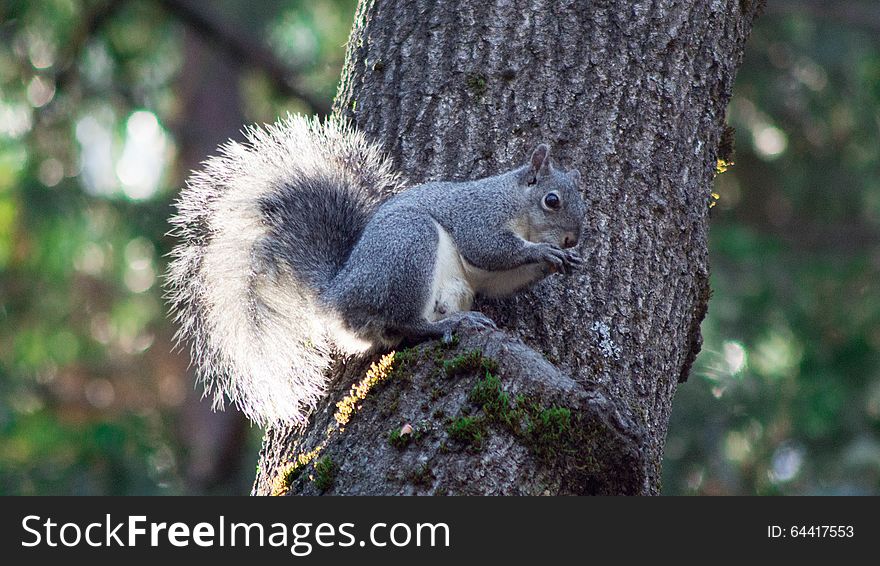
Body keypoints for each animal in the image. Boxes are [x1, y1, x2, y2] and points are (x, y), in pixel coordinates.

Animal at [168, 114, 588, 426]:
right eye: (552, 201)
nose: (571, 239)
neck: (516, 203)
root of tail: (336, 295)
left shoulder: (487, 274)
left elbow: (500, 280)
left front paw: (561, 262)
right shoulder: (478, 217)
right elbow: (491, 248)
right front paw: (543, 251)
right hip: (409, 248)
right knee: (407, 323)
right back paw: (451, 323)